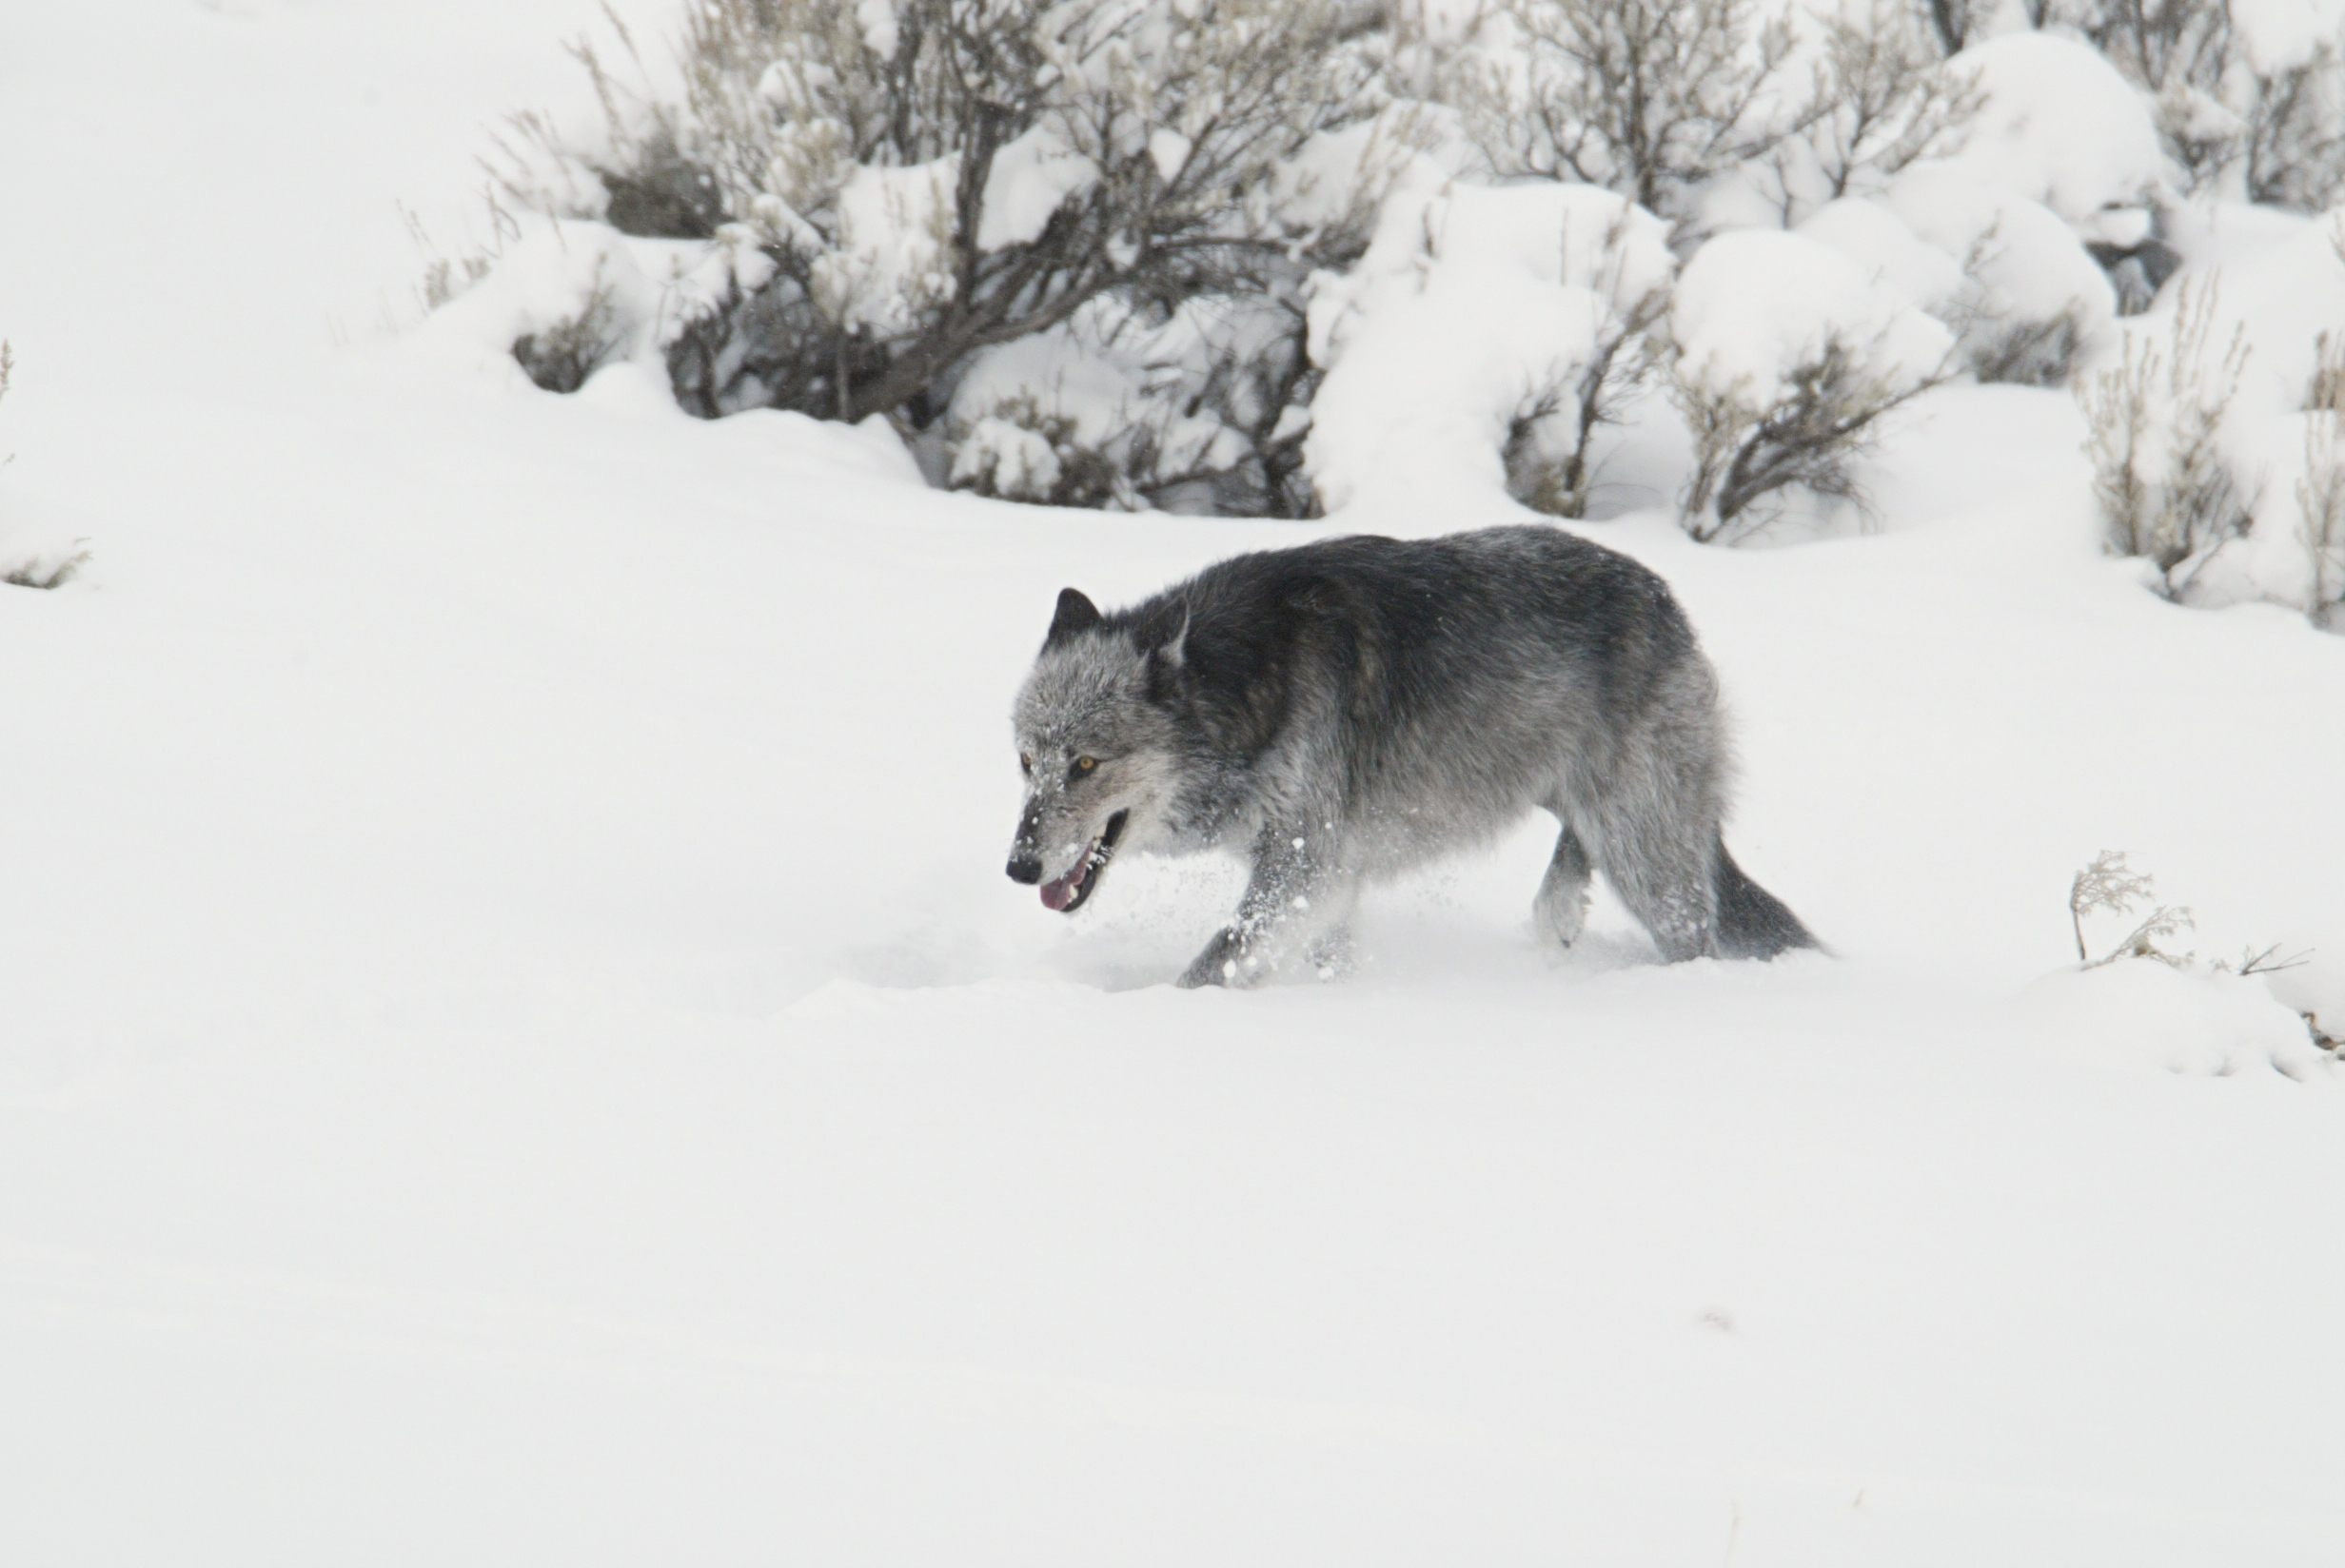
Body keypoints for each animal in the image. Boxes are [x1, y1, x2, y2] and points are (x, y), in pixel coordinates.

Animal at [1003, 524, 1810, 989]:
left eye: (1086, 765)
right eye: (1026, 763)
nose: (1018, 868)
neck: (1248, 688)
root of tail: (1668, 602)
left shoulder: (1307, 869)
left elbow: (1208, 968)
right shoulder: (1322, 882)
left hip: (1645, 858)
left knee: (1694, 936)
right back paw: (1557, 917)